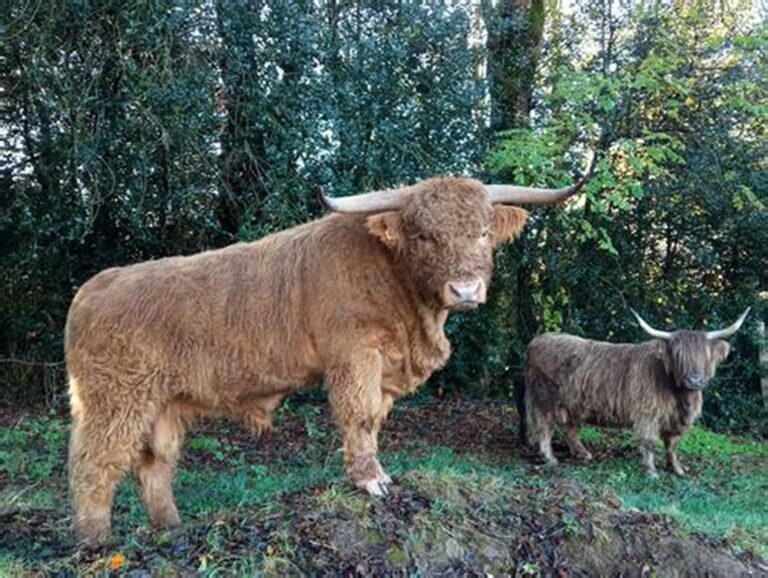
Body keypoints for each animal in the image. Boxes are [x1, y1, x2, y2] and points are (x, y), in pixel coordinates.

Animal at [66, 171, 590, 546]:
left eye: (482, 233)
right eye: (424, 236)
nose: (464, 289)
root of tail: (94, 287)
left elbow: (375, 420)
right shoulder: (356, 356)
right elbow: (358, 415)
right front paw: (369, 480)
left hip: (164, 404)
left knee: (154, 464)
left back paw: (171, 527)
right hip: (116, 399)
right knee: (96, 462)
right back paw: (96, 542)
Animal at [519, 308, 750, 477]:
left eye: (705, 355)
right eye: (678, 355)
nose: (695, 379)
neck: (680, 397)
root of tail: (537, 340)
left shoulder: (675, 419)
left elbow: (672, 444)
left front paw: (676, 468)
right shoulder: (648, 412)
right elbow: (649, 442)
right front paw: (651, 471)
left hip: (573, 402)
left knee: (571, 429)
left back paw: (583, 454)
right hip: (543, 400)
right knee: (544, 428)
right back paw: (550, 458)